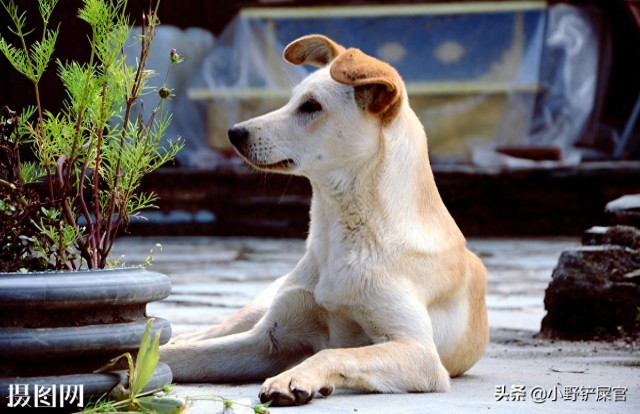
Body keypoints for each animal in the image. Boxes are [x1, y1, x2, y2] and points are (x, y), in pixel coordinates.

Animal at [161, 34, 490, 406]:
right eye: (293, 100)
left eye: (311, 107)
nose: (234, 132)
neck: (340, 234)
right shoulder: (267, 339)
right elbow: (176, 356)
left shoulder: (419, 353)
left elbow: (335, 352)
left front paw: (293, 377)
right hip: (257, 309)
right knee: (207, 333)